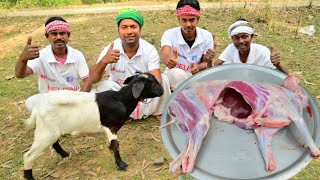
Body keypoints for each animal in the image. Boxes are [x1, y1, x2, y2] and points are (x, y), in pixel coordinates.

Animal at [22, 72, 164, 179]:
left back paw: (65, 154)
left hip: (51, 130)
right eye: (151, 83)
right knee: (29, 156)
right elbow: (116, 145)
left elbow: (112, 143)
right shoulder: (111, 127)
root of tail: (37, 109)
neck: (120, 99)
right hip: (45, 132)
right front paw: (121, 164)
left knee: (55, 143)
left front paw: (110, 149)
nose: (162, 91)